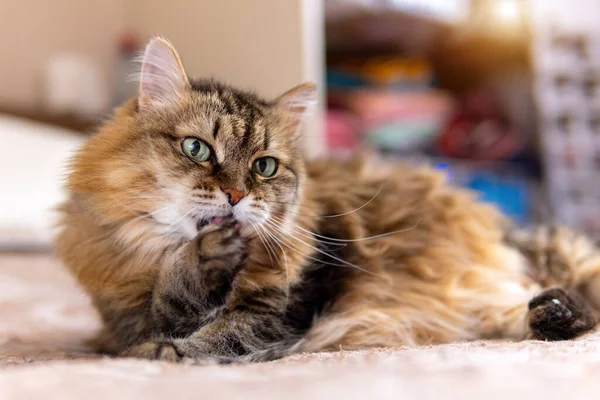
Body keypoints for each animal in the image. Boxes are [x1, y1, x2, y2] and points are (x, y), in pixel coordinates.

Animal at [54, 36, 600, 362]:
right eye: (197, 149)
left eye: (264, 166)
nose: (235, 195)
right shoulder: (126, 319)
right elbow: (174, 305)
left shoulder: (288, 310)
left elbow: (220, 333)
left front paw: (174, 351)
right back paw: (551, 314)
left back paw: (557, 312)